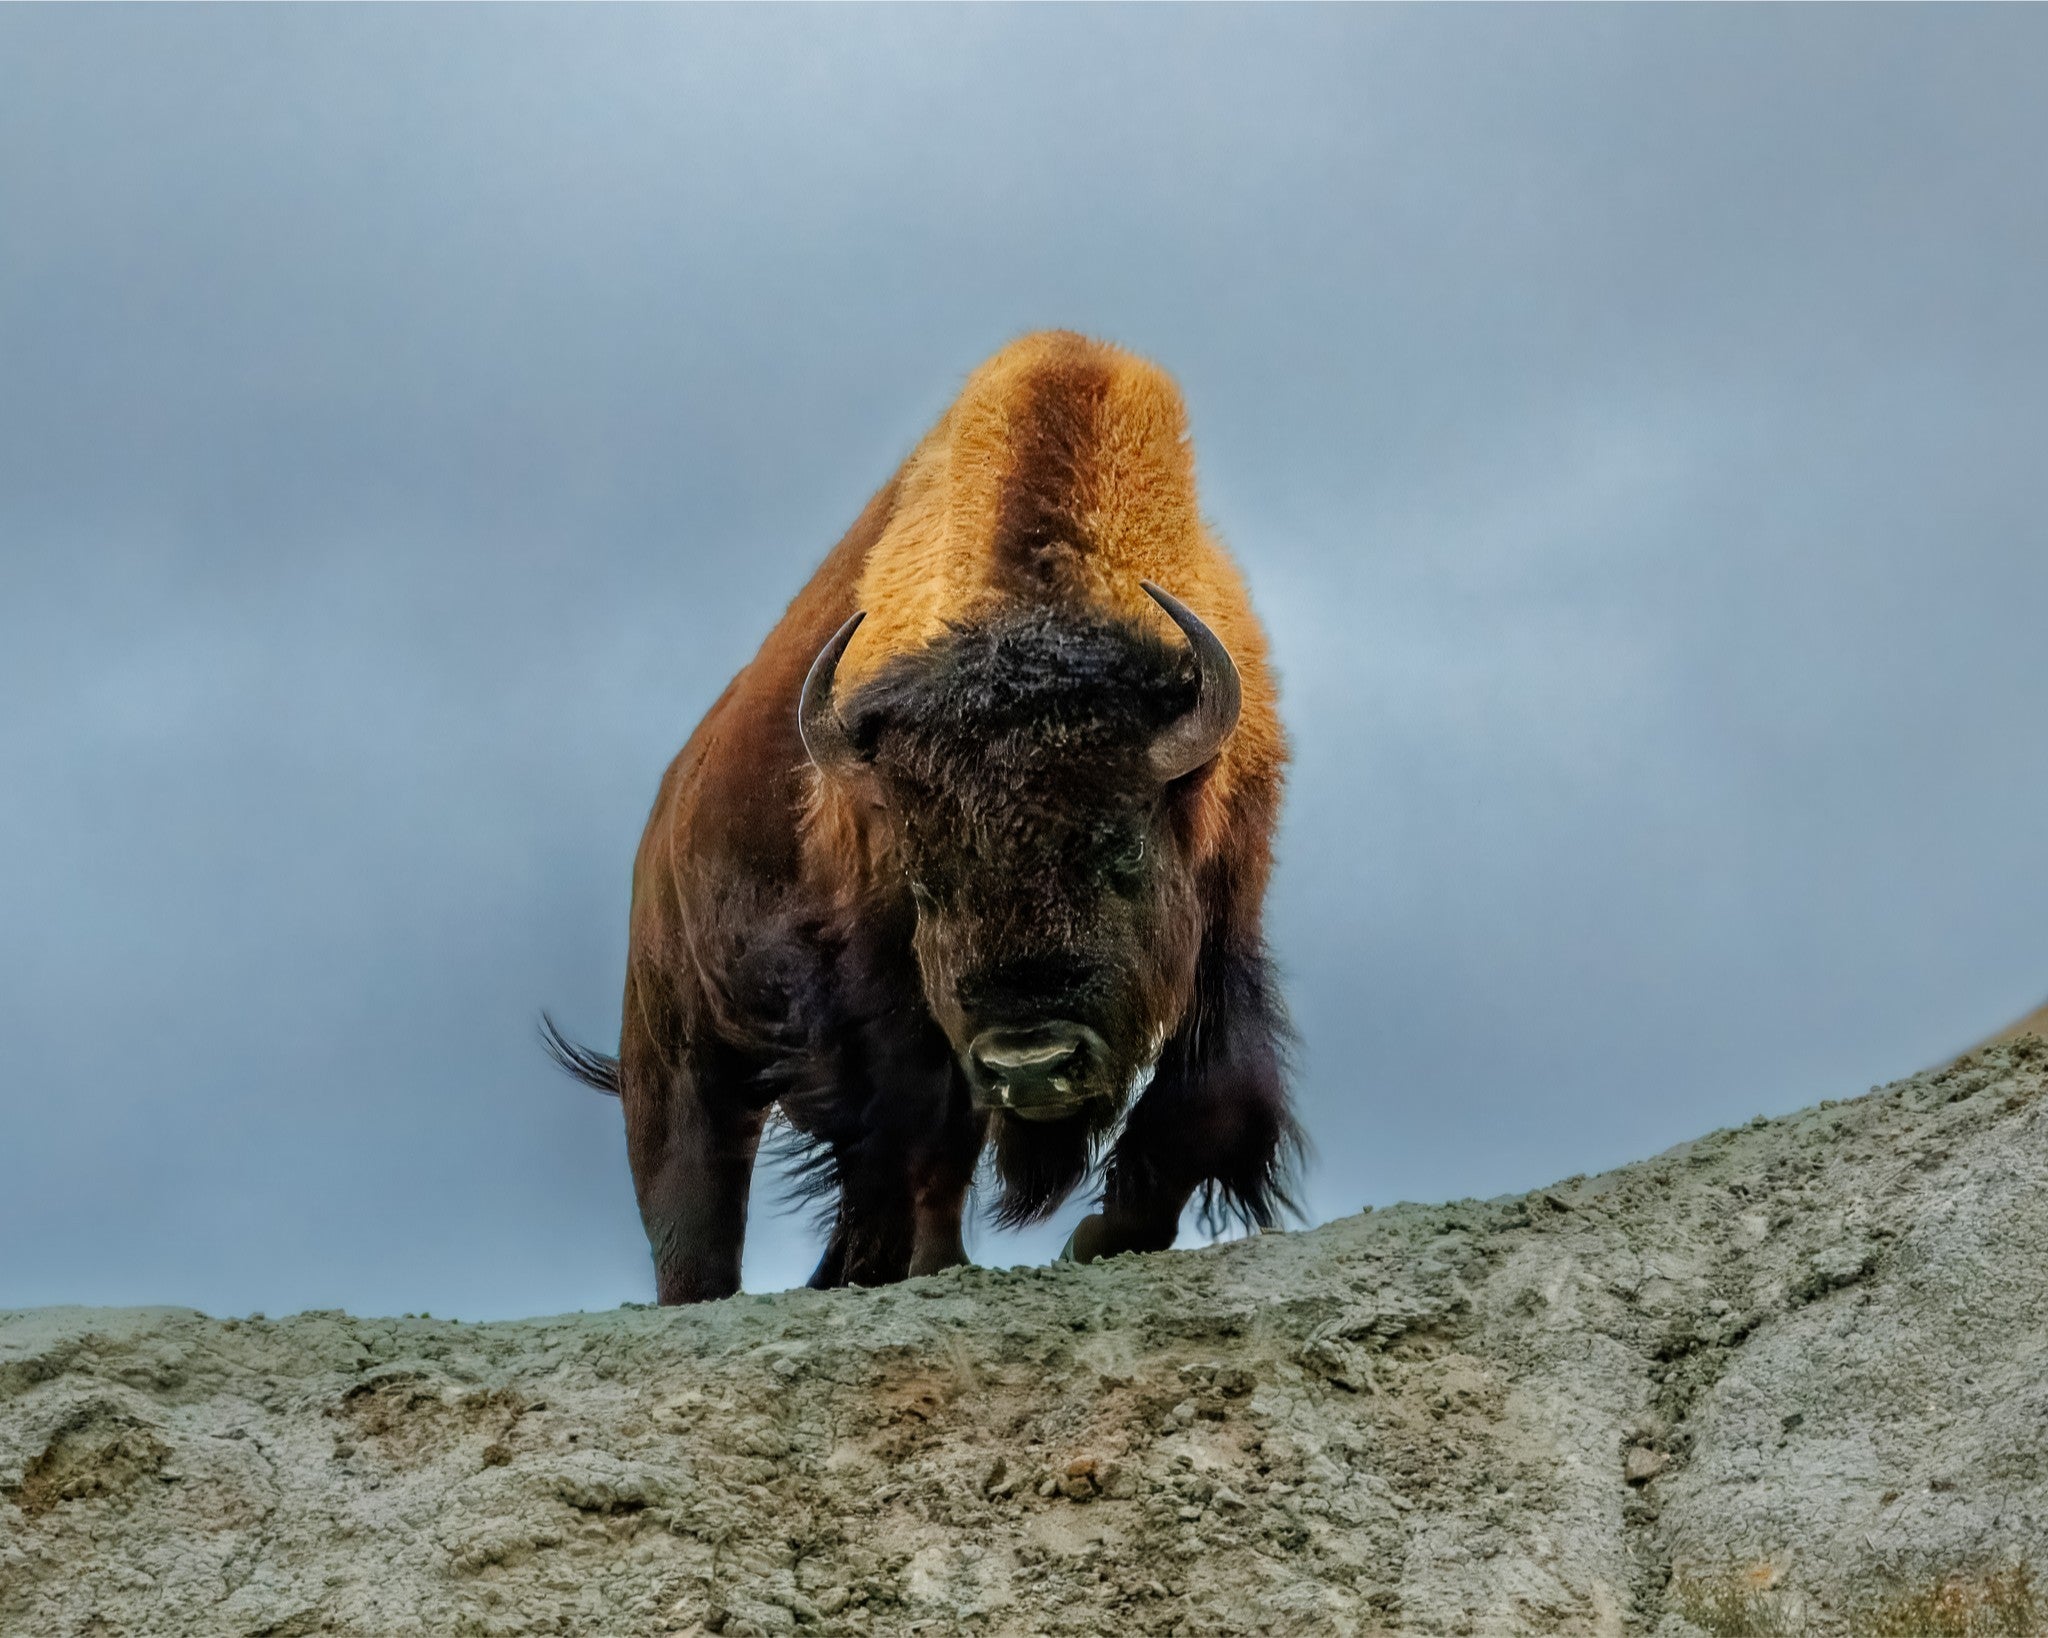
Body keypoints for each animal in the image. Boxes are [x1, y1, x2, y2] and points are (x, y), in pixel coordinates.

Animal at [547, 331, 1299, 1303]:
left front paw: (1101, 1235)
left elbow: (1218, 1094)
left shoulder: (1228, 901)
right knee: (697, 1208)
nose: (1032, 1063)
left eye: (1120, 858)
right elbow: (919, 1130)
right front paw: (925, 1262)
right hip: (676, 1053)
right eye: (928, 886)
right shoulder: (879, 979)